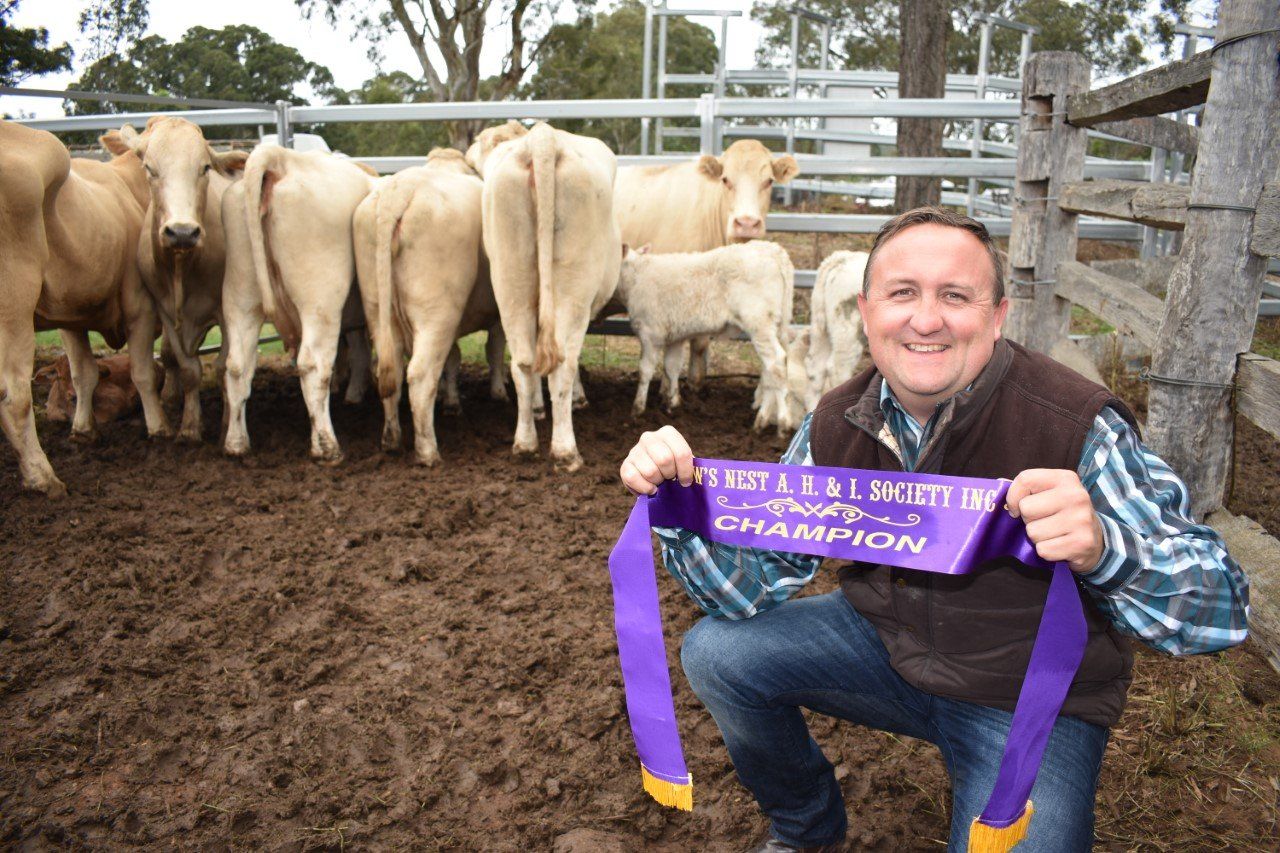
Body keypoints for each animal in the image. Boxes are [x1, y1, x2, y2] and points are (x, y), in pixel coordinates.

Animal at [0, 118, 165, 491]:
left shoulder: (69, 316)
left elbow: (83, 373)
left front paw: (83, 430)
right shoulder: (141, 307)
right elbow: (144, 372)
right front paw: (160, 427)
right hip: (14, 308)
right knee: (14, 395)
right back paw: (43, 477)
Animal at [222, 147, 373, 466]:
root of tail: (281, 158)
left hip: (241, 296)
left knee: (238, 365)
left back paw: (236, 443)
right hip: (321, 300)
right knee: (313, 365)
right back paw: (327, 447)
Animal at [355, 147, 509, 466]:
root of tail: (397, 190)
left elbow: (453, 357)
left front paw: (451, 402)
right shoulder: (497, 315)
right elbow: (494, 349)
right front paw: (499, 392)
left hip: (378, 309)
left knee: (391, 372)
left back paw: (391, 439)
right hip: (436, 312)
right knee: (420, 374)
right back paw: (428, 451)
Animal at [468, 117, 622, 471]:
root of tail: (542, 138)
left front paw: (539, 409)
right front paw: (578, 399)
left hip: (511, 280)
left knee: (523, 362)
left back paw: (525, 443)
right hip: (573, 288)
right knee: (564, 363)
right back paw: (566, 451)